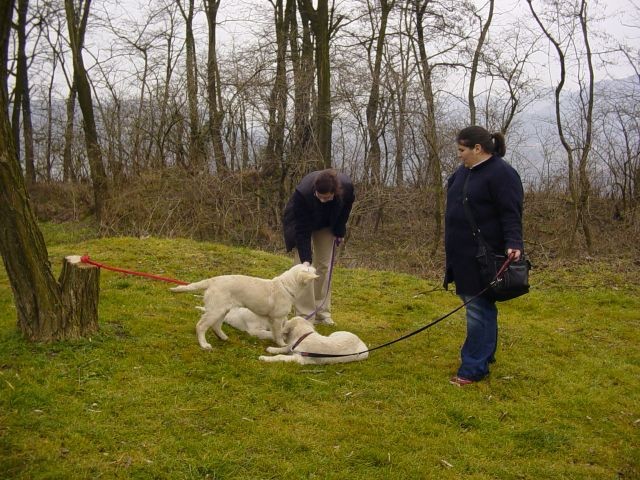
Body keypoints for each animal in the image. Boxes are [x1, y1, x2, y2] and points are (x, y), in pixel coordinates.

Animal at [171, 264, 318, 350]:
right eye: (309, 270)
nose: (309, 262)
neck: (285, 286)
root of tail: (212, 281)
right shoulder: (277, 318)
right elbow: (278, 333)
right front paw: (282, 344)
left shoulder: (274, 319)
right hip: (215, 311)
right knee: (201, 326)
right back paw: (204, 344)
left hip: (222, 310)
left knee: (216, 325)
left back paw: (223, 337)